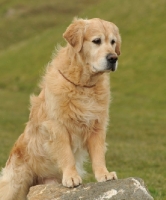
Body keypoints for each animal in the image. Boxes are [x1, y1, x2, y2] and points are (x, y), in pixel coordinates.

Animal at [0, 18, 121, 199]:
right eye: (97, 41)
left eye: (113, 42)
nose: (113, 58)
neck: (83, 84)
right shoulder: (58, 126)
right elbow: (66, 154)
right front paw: (71, 177)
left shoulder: (97, 125)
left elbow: (99, 153)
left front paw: (104, 174)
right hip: (17, 181)